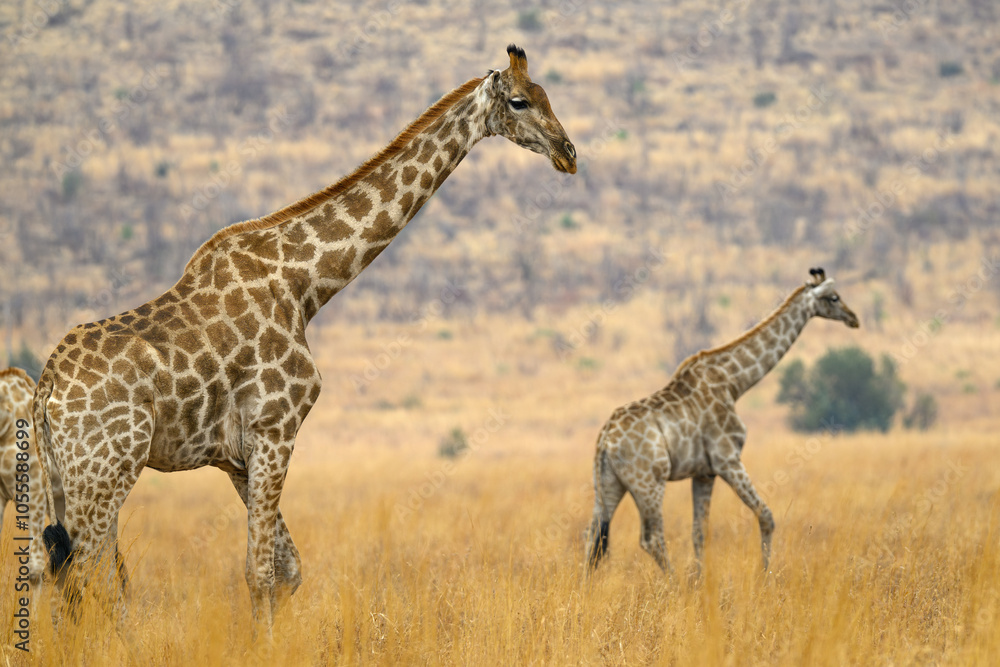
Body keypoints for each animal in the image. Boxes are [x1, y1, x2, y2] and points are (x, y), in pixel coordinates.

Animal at [33, 44, 576, 635]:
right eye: (519, 102)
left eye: (547, 95)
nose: (568, 153)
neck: (303, 285)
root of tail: (45, 392)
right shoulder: (275, 430)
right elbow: (260, 574)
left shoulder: (236, 457)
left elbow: (288, 571)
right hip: (105, 470)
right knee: (85, 576)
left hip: (64, 478)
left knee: (64, 575)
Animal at [586, 268, 859, 575]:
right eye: (834, 297)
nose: (854, 319)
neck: (734, 382)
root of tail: (605, 440)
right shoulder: (727, 460)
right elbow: (766, 515)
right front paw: (765, 575)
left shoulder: (703, 472)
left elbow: (699, 532)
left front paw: (700, 579)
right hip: (649, 480)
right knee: (650, 537)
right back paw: (672, 582)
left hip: (608, 482)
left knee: (593, 535)